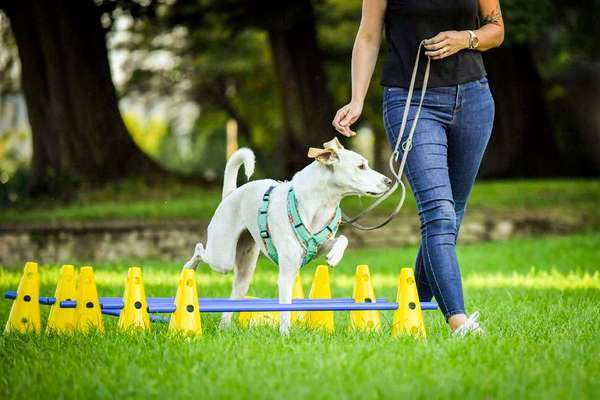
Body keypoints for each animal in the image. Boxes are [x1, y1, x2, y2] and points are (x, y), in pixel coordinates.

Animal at [183, 138, 392, 334]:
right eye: (361, 166)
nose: (389, 182)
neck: (320, 203)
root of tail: (231, 194)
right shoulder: (286, 272)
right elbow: (285, 308)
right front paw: (285, 336)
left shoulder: (316, 248)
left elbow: (342, 239)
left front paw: (334, 257)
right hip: (222, 258)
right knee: (200, 250)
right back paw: (189, 267)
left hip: (245, 269)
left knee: (233, 298)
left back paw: (224, 329)